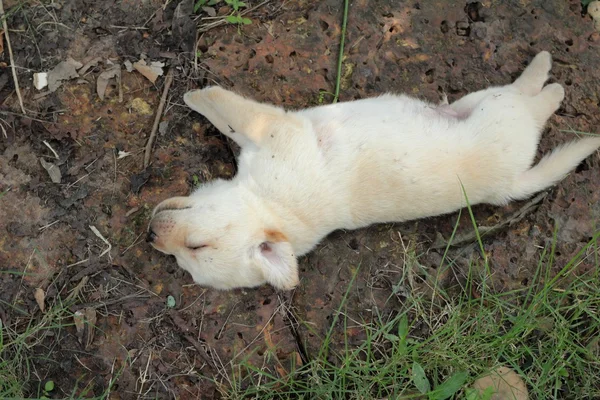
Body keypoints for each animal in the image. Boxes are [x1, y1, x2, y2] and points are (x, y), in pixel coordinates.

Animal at [146, 52, 600, 290]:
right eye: (185, 263)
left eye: (197, 246)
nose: (150, 235)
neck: (271, 206)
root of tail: (511, 184)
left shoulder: (275, 128)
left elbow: (229, 112)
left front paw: (195, 94)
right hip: (481, 103)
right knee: (526, 97)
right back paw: (544, 72)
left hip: (497, 112)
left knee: (538, 101)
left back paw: (548, 74)